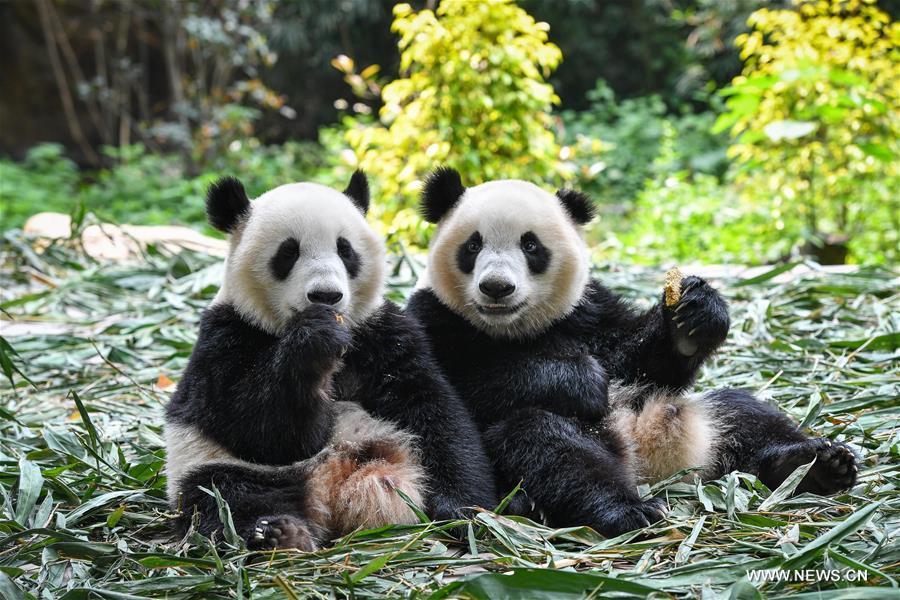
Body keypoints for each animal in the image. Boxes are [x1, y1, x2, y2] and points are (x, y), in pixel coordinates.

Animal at [165, 172, 495, 550]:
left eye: (345, 250)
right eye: (288, 252)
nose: (326, 295)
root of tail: (331, 486)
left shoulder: (384, 334)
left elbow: (434, 412)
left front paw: (463, 510)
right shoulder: (226, 336)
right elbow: (263, 429)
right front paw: (315, 340)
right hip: (210, 465)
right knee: (225, 497)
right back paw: (280, 532)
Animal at [405, 167, 858, 537]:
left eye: (530, 246)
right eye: (473, 246)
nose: (497, 287)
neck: (514, 330)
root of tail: (650, 460)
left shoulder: (587, 311)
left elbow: (640, 362)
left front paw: (693, 317)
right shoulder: (436, 319)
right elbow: (468, 386)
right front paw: (581, 382)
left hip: (689, 412)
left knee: (743, 412)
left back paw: (816, 465)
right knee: (550, 447)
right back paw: (627, 511)